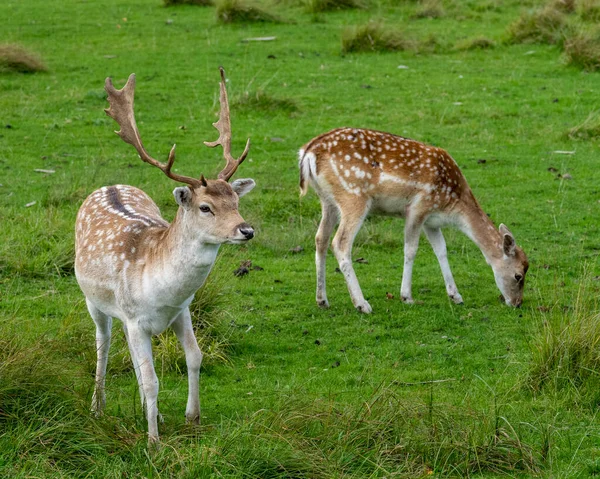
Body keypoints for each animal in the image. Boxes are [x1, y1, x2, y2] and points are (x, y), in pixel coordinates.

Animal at [75, 65, 255, 444]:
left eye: (236, 200)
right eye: (205, 207)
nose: (246, 230)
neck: (160, 290)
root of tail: (110, 184)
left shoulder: (181, 310)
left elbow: (194, 357)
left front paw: (192, 418)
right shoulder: (135, 318)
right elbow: (151, 379)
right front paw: (154, 442)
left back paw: (147, 411)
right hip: (93, 300)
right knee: (103, 342)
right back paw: (97, 407)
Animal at [298, 128, 528, 316]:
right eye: (518, 275)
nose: (517, 304)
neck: (452, 206)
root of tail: (307, 153)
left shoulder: (431, 221)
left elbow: (441, 250)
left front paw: (456, 296)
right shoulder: (418, 208)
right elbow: (410, 249)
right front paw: (406, 296)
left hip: (327, 201)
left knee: (320, 239)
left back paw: (322, 300)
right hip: (353, 197)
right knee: (340, 243)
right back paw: (362, 304)